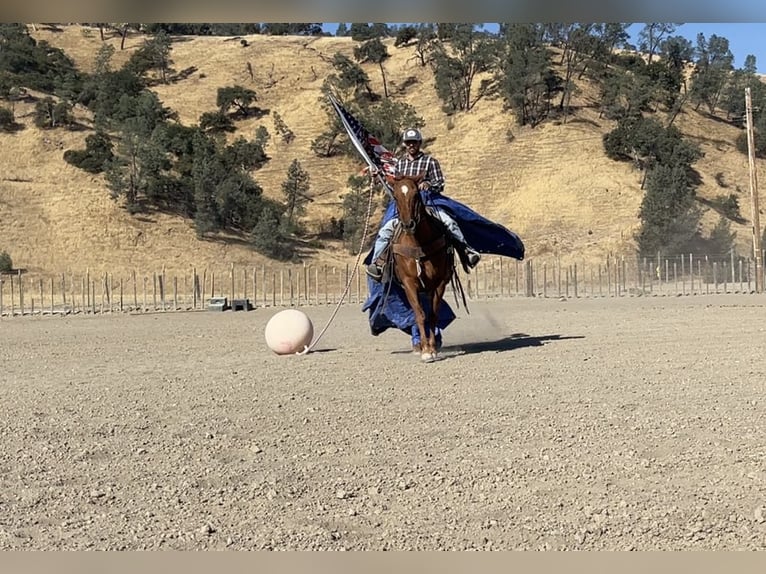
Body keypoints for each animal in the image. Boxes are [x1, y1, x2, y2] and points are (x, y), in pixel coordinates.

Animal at [387, 172, 455, 362]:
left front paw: (432, 348)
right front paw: (425, 350)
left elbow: (432, 315)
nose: (408, 225)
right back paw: (418, 345)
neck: (418, 244)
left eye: (416, 194)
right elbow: (419, 314)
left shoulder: (438, 284)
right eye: (395, 196)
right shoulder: (409, 283)